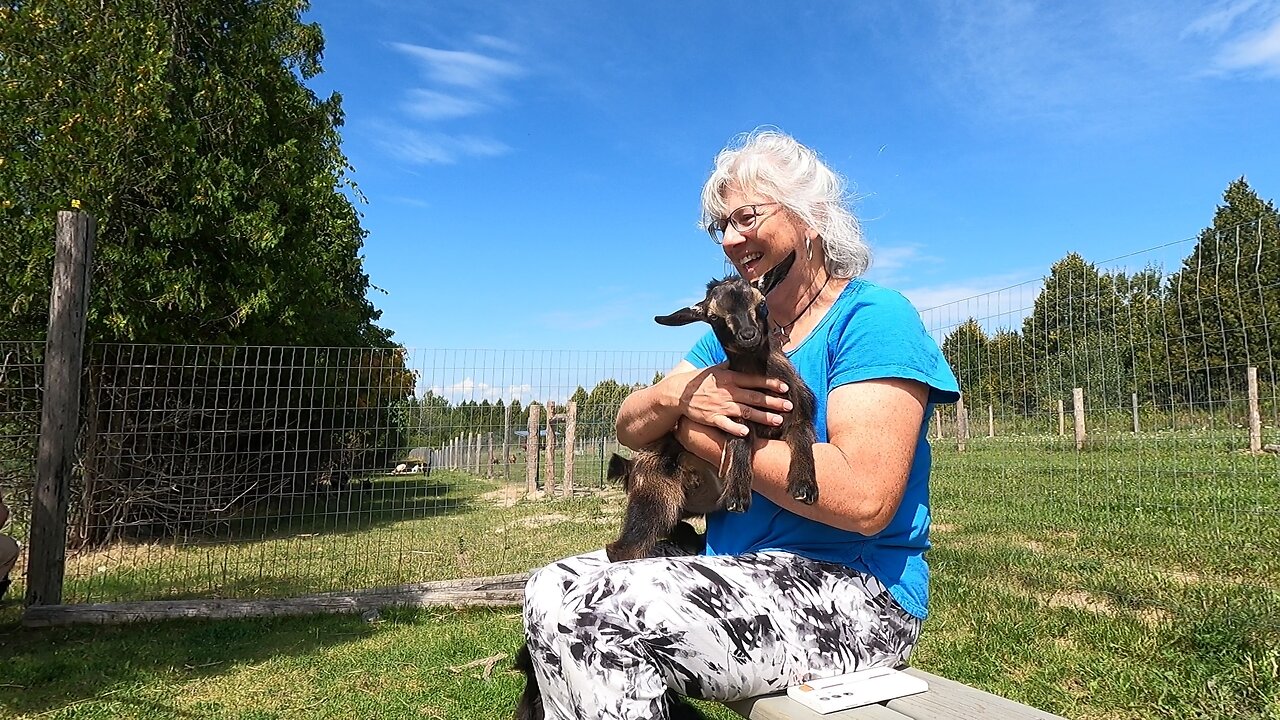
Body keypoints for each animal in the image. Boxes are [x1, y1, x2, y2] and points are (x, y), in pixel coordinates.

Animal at [601, 249, 819, 563]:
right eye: (714, 317)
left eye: (762, 304)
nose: (748, 335)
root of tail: (632, 465)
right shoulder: (732, 414)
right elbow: (739, 440)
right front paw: (738, 494)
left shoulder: (800, 412)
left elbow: (803, 439)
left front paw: (803, 486)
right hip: (655, 496)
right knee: (623, 547)